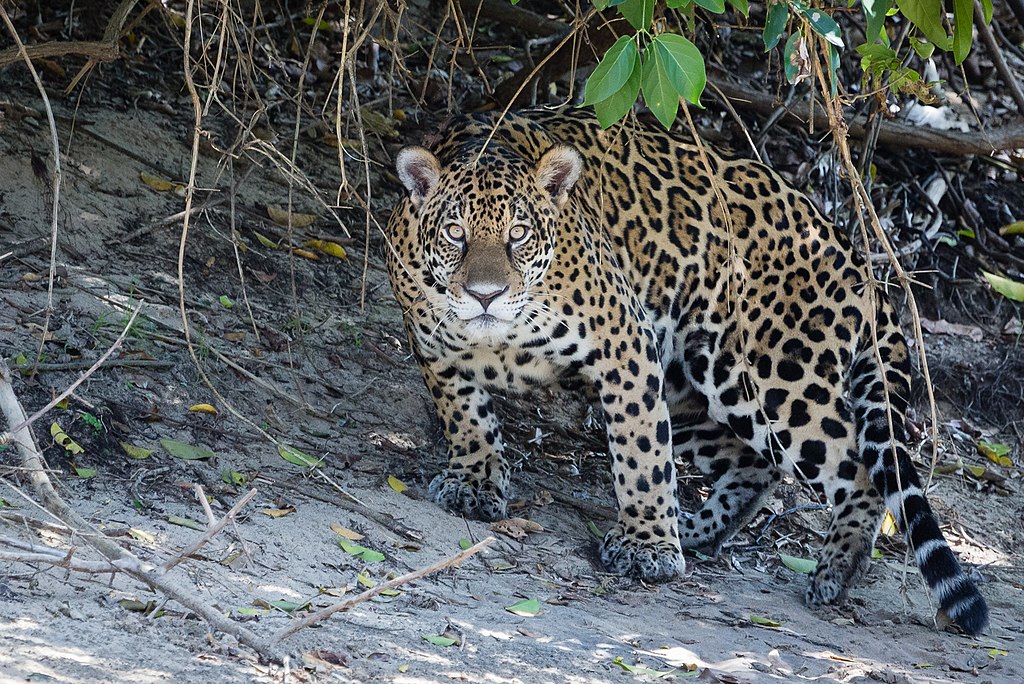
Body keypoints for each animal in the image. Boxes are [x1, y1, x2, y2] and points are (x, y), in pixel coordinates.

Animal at [384, 107, 989, 635]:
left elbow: (641, 454)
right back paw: (696, 528)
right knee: (755, 465)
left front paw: (648, 547)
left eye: (519, 235)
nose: (484, 295)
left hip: (768, 375)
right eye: (455, 234)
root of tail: (851, 249)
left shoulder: (624, 344)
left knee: (856, 466)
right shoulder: (435, 350)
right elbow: (465, 418)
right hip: (691, 386)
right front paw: (473, 481)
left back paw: (836, 571)